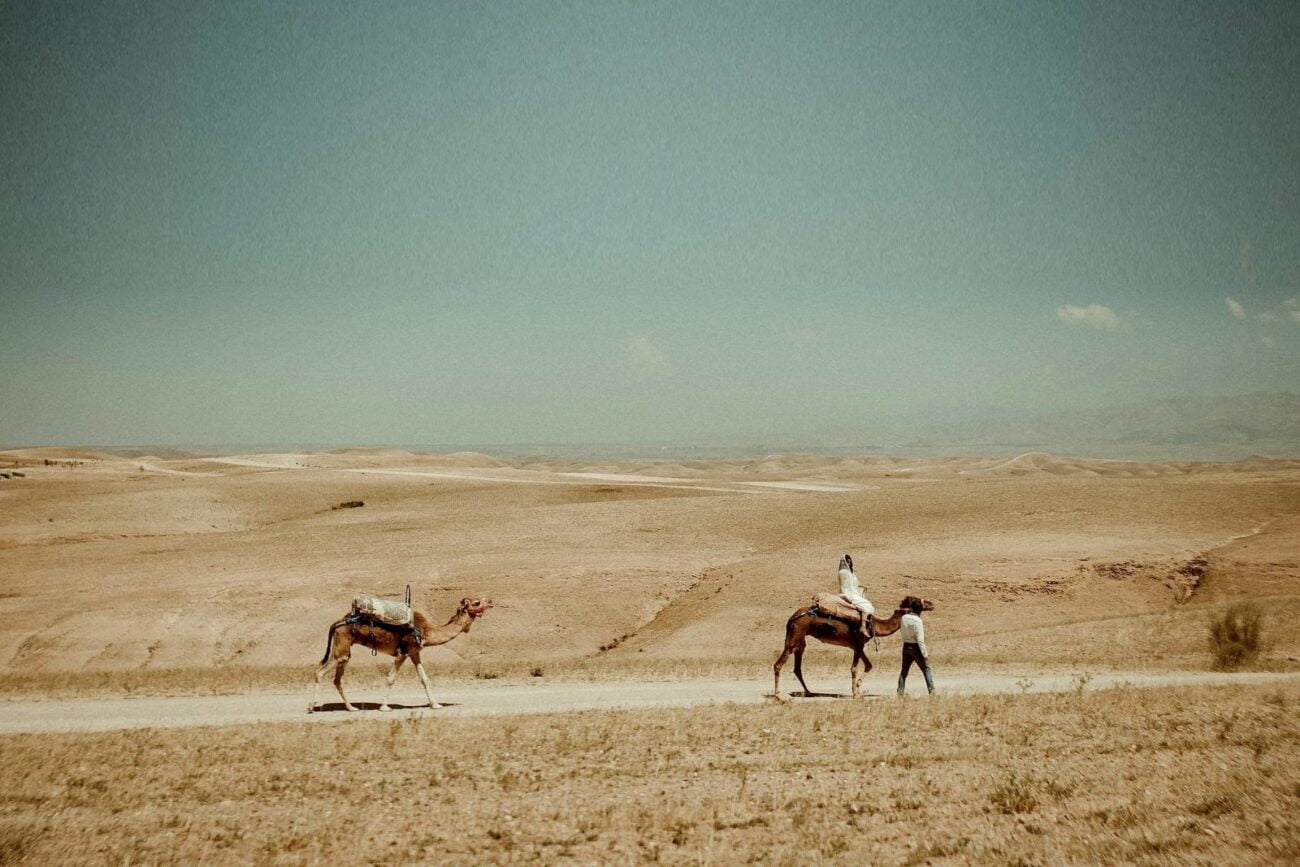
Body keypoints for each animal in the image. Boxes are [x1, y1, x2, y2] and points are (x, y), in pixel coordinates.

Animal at [310, 596, 492, 713]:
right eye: (476, 602)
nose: (490, 601)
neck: (427, 631)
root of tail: (338, 622)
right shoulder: (402, 653)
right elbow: (391, 679)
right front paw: (384, 707)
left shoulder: (414, 653)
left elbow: (424, 679)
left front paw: (435, 704)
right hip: (341, 649)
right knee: (319, 672)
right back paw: (312, 706)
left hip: (344, 652)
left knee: (337, 679)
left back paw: (351, 708)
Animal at [773, 594, 933, 701]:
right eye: (916, 600)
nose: (931, 603)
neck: (874, 624)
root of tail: (793, 617)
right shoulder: (859, 643)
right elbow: (854, 668)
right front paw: (855, 694)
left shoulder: (857, 646)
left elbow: (869, 665)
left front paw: (859, 689)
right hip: (796, 634)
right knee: (778, 664)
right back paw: (779, 695)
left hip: (800, 640)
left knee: (797, 667)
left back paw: (808, 692)